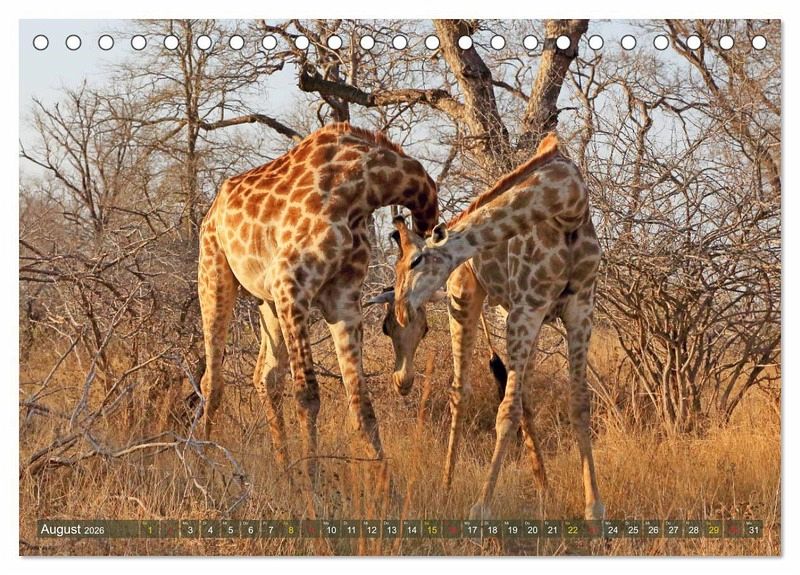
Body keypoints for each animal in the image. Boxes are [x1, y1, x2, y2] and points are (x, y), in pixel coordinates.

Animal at [196, 122, 439, 497]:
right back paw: (201, 472)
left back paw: (285, 474)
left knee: (265, 376)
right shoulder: (293, 288)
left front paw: (390, 492)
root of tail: (213, 210)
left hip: (267, 301)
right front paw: (312, 487)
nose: (404, 382)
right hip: (215, 270)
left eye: (424, 330)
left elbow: (361, 403)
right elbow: (308, 395)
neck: (366, 184)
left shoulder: (343, 301)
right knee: (213, 379)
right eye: (389, 327)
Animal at [376, 133, 605, 521]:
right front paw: (481, 507)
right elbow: (506, 411)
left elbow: (579, 403)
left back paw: (544, 489)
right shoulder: (528, 306)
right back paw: (446, 487)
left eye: (415, 260)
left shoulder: (580, 308)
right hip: (465, 299)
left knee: (520, 395)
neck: (568, 203)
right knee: (461, 391)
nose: (404, 309)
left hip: (513, 314)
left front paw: (594, 508)